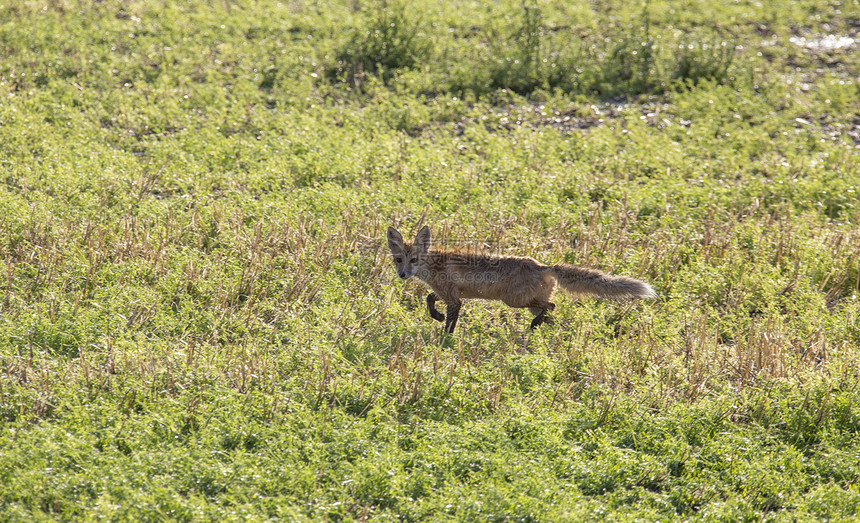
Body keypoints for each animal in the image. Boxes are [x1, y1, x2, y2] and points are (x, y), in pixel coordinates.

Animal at [386, 226, 656, 336]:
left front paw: (445, 339)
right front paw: (437, 316)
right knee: (553, 314)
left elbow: (448, 321)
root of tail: (543, 266)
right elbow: (429, 299)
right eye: (399, 260)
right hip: (527, 302)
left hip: (514, 301)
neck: (433, 266)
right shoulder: (449, 294)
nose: (403, 275)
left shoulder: (454, 299)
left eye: (414, 260)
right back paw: (545, 331)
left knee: (551, 307)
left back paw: (535, 326)